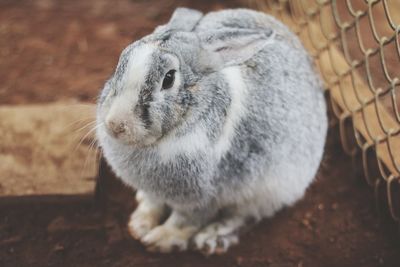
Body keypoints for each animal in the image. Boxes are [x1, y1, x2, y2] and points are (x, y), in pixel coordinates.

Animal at [97, 7, 328, 255]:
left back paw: (211, 238)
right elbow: (152, 204)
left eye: (168, 79)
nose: (115, 125)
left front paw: (160, 239)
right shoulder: (155, 192)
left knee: (245, 216)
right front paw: (139, 226)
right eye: (121, 60)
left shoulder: (201, 198)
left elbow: (185, 221)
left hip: (268, 190)